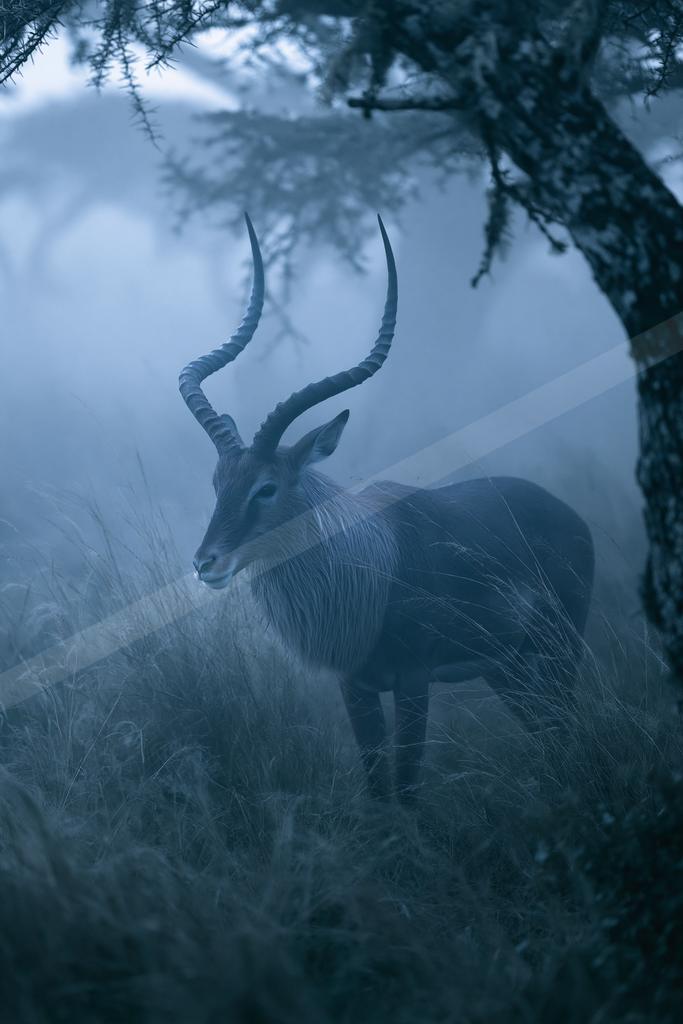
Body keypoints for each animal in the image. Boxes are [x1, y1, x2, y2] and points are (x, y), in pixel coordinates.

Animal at [180, 214, 594, 799]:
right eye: (219, 483)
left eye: (267, 487)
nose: (206, 563)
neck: (364, 565)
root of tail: (563, 509)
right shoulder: (354, 686)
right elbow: (378, 788)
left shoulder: (414, 680)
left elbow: (406, 786)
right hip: (507, 667)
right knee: (552, 734)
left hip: (558, 649)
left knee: (569, 727)